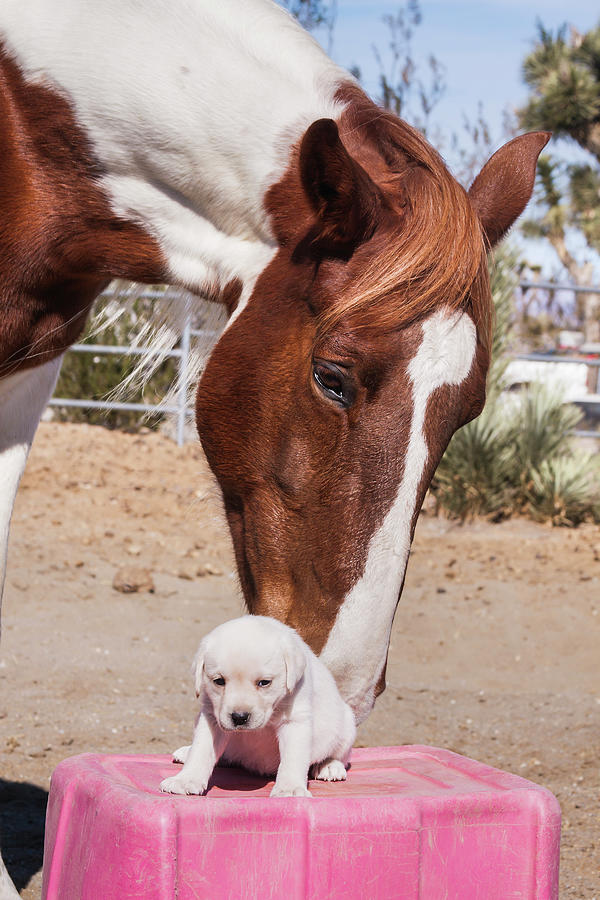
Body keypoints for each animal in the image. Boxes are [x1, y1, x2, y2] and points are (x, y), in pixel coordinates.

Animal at [161, 616, 356, 800]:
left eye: (264, 682)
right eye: (219, 681)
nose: (239, 717)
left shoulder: (295, 720)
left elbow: (293, 758)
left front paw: (290, 789)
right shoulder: (211, 717)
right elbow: (201, 749)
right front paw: (185, 780)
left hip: (347, 725)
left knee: (340, 755)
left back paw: (329, 766)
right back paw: (187, 752)